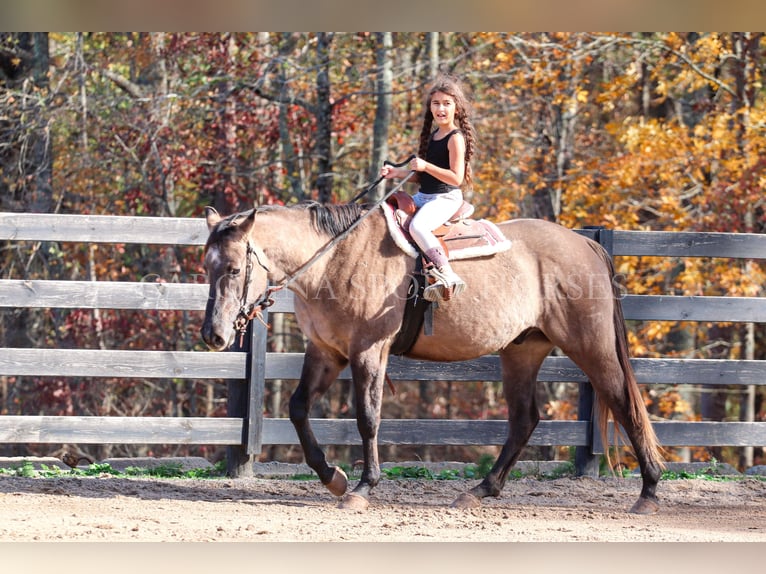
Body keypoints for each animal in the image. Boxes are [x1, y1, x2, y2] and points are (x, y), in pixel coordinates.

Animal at [202, 200, 664, 516]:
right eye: (206, 266)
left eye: (233, 269)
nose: (213, 334)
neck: (335, 260)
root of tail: (585, 243)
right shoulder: (326, 352)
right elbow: (298, 409)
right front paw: (333, 478)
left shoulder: (368, 352)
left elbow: (367, 418)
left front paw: (363, 488)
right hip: (523, 351)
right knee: (524, 420)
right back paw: (480, 491)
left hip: (592, 347)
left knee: (624, 404)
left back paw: (649, 492)